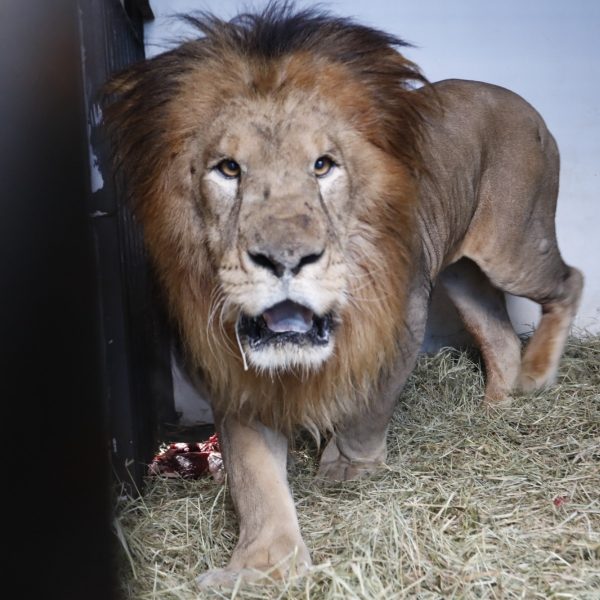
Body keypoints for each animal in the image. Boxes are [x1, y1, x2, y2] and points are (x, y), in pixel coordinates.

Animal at [105, 3, 584, 584]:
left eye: (323, 165)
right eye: (229, 169)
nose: (285, 259)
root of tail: (524, 103)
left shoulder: (402, 320)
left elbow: (368, 407)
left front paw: (347, 467)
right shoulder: (234, 368)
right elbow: (253, 476)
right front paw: (260, 566)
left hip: (512, 247)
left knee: (568, 280)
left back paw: (537, 374)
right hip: (460, 272)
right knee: (499, 335)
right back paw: (496, 409)